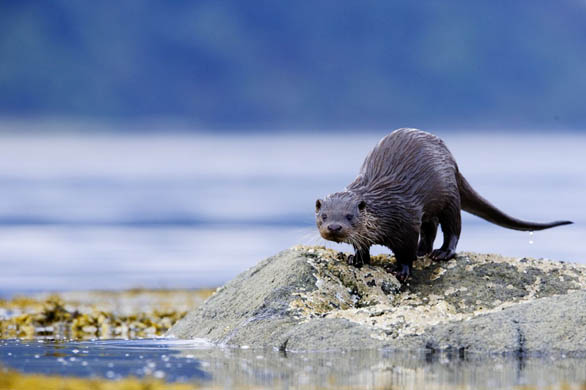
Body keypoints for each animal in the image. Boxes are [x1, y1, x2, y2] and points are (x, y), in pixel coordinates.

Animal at [314, 129, 572, 282]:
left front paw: (401, 270)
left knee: (452, 227)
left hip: (449, 196)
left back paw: (443, 252)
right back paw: (424, 251)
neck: (384, 207)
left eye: (349, 216)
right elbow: (361, 246)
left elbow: (405, 251)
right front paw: (357, 259)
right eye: (324, 216)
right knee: (430, 227)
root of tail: (452, 161)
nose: (334, 228)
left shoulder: (405, 221)